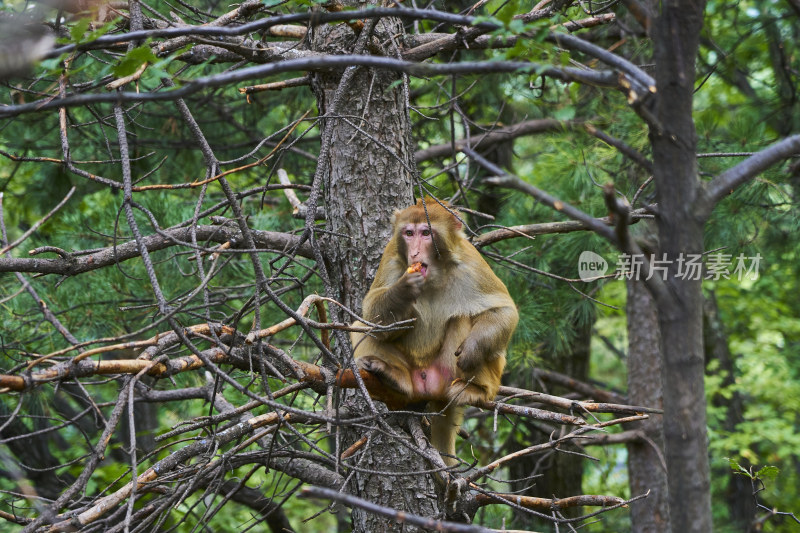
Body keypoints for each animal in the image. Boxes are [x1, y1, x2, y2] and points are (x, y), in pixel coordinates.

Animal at [352, 197, 520, 464]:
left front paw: (472, 349)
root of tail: (431, 387)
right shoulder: (391, 257)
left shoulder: (471, 263)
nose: (415, 253)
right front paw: (402, 290)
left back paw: (476, 390)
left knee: (464, 316)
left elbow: (503, 310)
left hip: (451, 373)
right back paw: (395, 378)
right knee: (362, 326)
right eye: (409, 233)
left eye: (426, 232)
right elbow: (372, 315)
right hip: (413, 374)